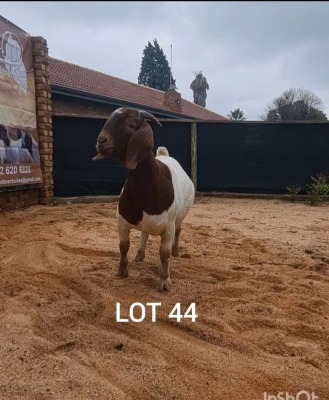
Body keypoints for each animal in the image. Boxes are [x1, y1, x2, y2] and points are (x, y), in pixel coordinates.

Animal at [92, 108, 195, 290]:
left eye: (131, 123)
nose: (101, 141)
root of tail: (164, 155)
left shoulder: (168, 226)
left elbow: (164, 253)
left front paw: (165, 281)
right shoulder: (122, 221)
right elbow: (123, 246)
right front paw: (122, 271)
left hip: (180, 216)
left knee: (178, 230)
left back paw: (176, 251)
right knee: (144, 234)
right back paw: (140, 254)